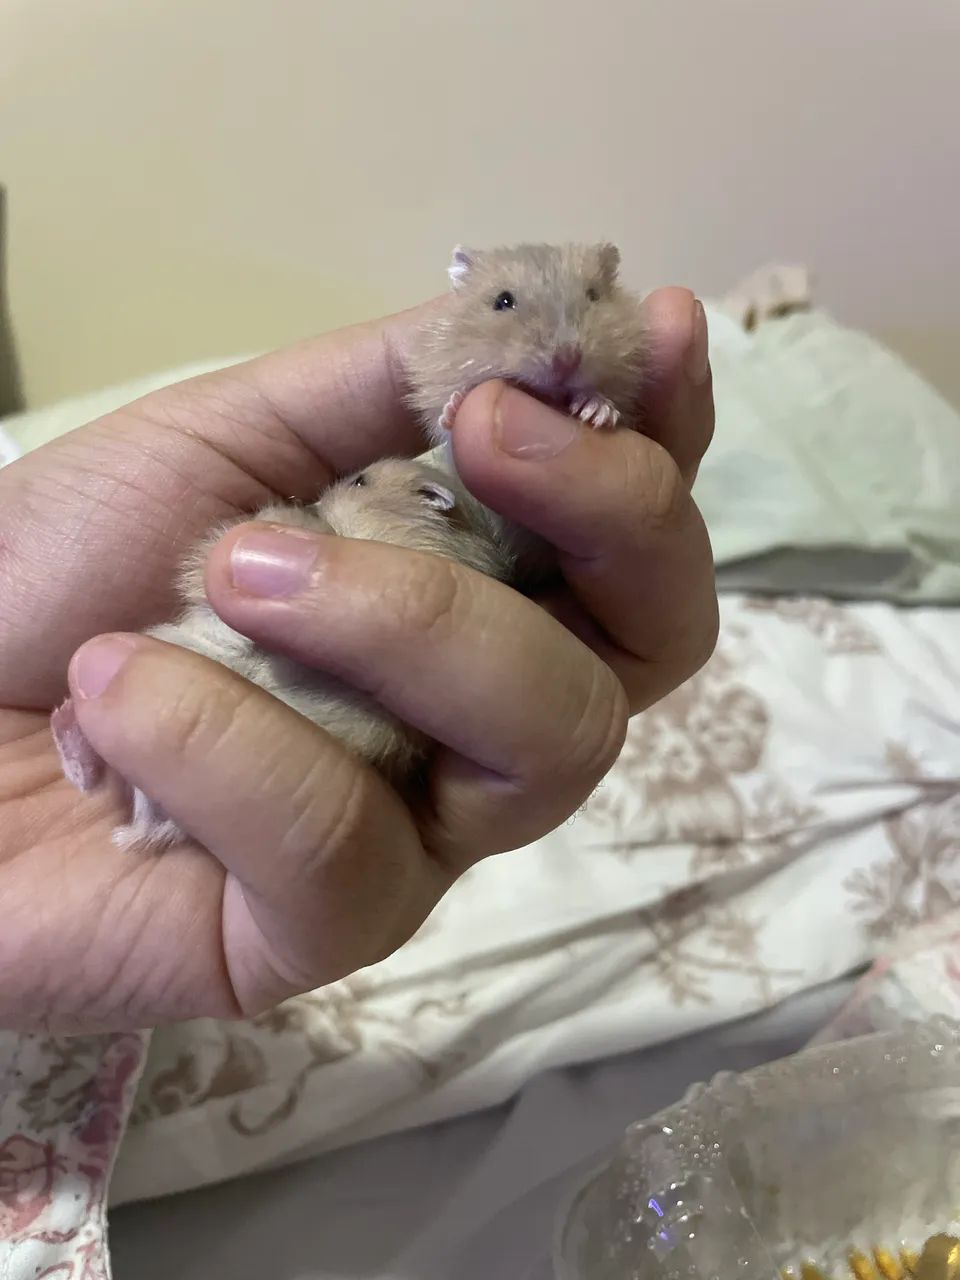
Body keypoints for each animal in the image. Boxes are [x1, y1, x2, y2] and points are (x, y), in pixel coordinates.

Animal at [404, 241, 648, 586]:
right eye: (503, 301)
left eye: (593, 295)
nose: (567, 359)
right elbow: (446, 416)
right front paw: (456, 404)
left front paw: (595, 411)